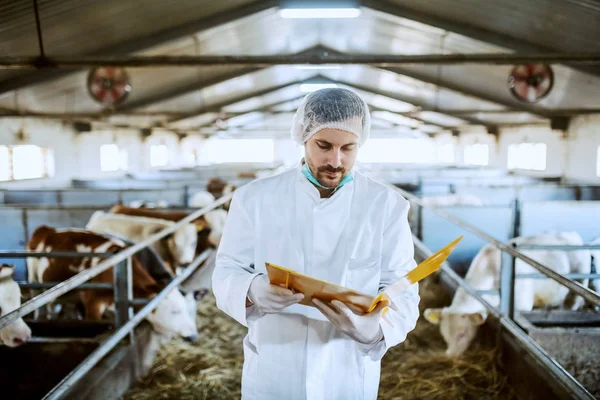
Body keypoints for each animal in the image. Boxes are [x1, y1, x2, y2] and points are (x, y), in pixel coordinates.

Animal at [26, 225, 199, 340]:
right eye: (175, 311)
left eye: (190, 309)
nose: (194, 335)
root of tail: (48, 230)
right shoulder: (92, 304)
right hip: (34, 280)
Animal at [424, 231, 592, 356]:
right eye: (444, 334)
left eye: (462, 333)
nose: (450, 356)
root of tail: (573, 234)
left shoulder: (523, 302)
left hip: (581, 277)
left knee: (575, 300)